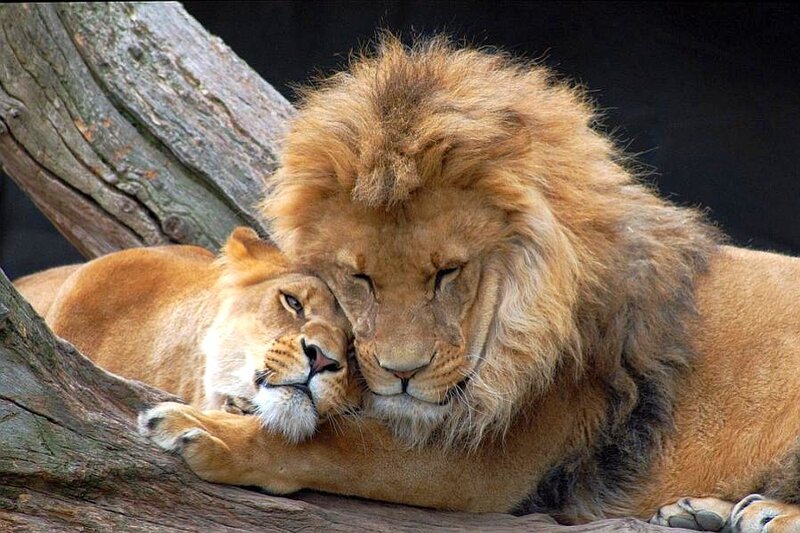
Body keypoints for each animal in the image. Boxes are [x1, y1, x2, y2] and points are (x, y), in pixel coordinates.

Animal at [139, 36, 800, 530]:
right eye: (360, 277)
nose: (402, 374)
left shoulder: (487, 460)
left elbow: (330, 445)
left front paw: (199, 430)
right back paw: (703, 512)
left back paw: (765, 512)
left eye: (447, 273)